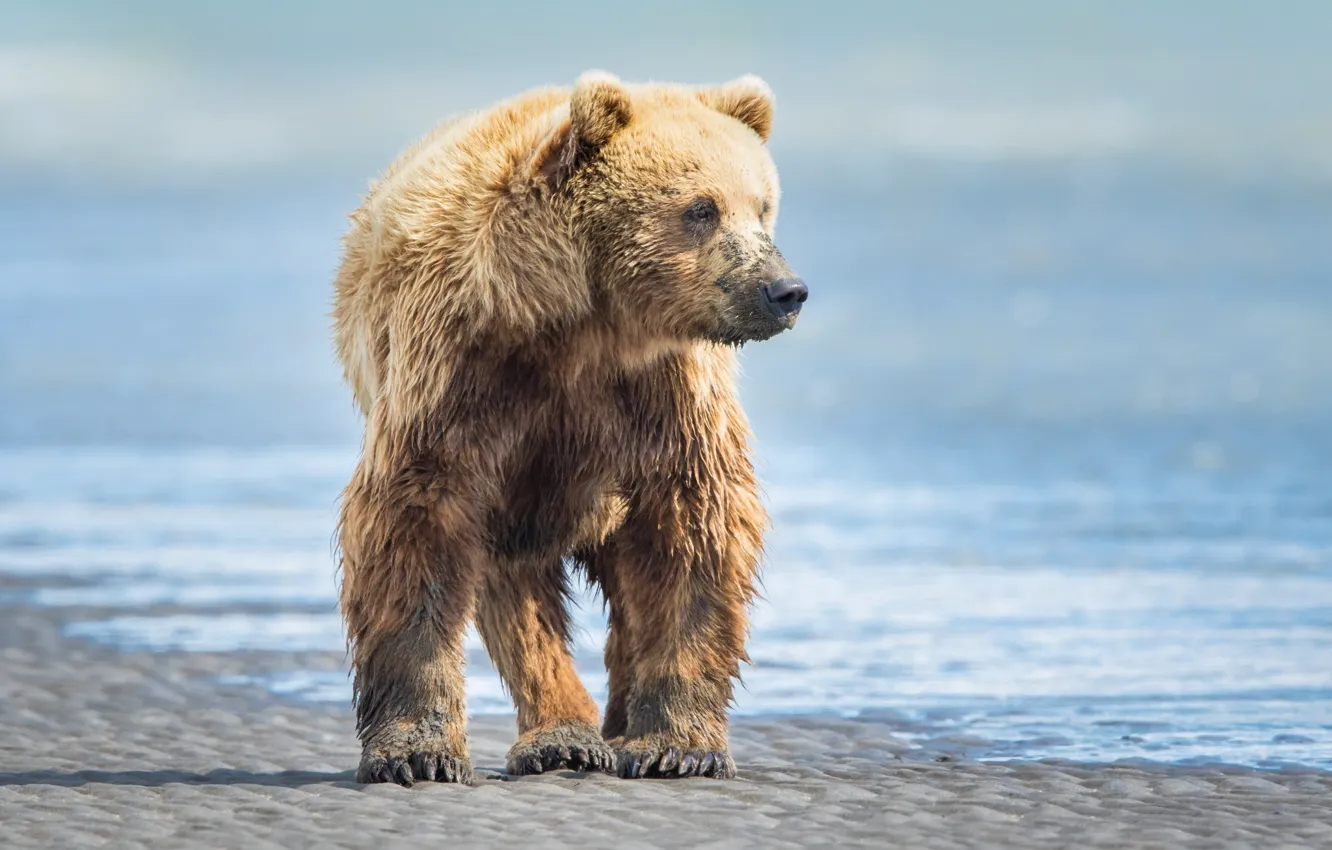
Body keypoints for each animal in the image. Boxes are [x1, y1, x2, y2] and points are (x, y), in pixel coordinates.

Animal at [331, 70, 807, 786]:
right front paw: (416, 752)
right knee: (515, 596)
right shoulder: (463, 369)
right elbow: (415, 520)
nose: (784, 290)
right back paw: (562, 737)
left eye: (764, 205)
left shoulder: (668, 392)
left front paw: (677, 745)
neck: (584, 321)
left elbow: (696, 524)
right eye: (701, 208)